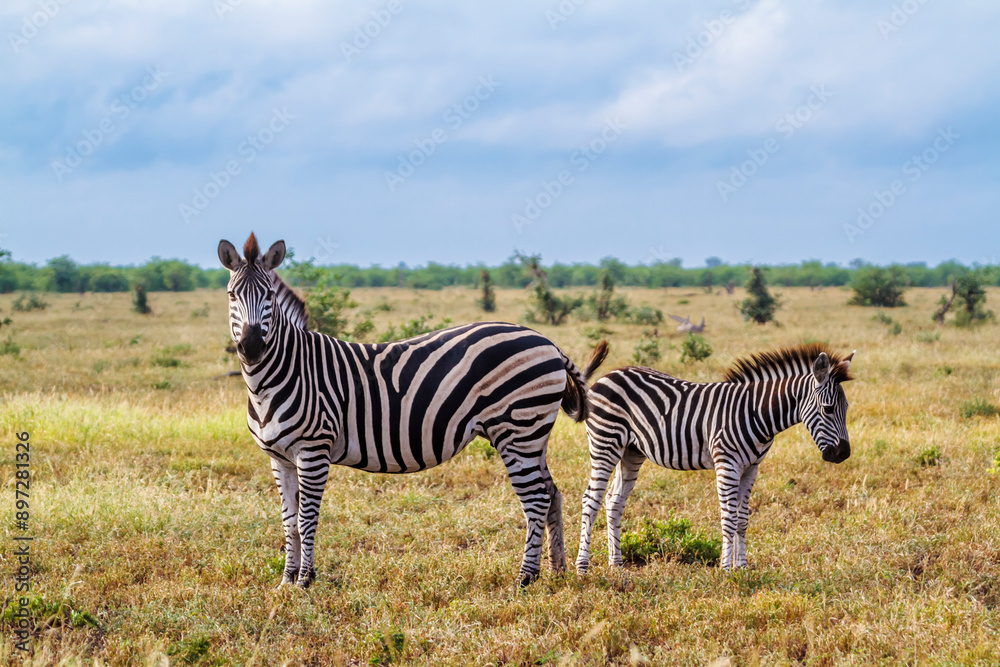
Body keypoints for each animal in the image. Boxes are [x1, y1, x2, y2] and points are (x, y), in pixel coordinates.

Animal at [218, 233, 609, 587]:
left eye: (268, 296)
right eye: (231, 295)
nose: (251, 347)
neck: (283, 374)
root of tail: (548, 343)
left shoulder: (314, 450)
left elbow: (306, 519)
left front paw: (304, 582)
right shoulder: (279, 457)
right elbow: (288, 522)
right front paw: (287, 581)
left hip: (517, 430)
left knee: (537, 497)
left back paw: (525, 577)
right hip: (532, 435)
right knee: (552, 492)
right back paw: (556, 570)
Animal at [576, 343, 854, 573]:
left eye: (847, 407)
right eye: (828, 409)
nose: (843, 454)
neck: (756, 412)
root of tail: (609, 375)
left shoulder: (751, 468)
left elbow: (742, 519)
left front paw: (742, 568)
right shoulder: (727, 464)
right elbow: (728, 518)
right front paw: (726, 570)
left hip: (631, 452)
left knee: (613, 502)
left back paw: (616, 565)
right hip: (605, 444)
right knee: (591, 500)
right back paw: (582, 569)